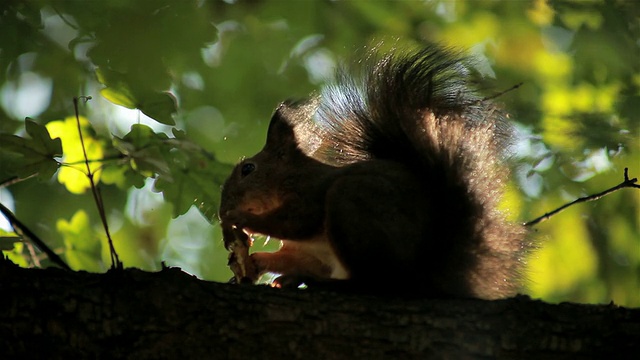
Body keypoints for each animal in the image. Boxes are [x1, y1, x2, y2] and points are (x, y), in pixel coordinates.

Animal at [218, 45, 528, 300]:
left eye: (248, 169)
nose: (221, 212)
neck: (286, 179)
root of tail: (422, 275)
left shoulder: (310, 193)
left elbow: (297, 221)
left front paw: (241, 219)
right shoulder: (311, 253)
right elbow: (296, 257)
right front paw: (255, 261)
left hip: (352, 205)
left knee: (373, 282)